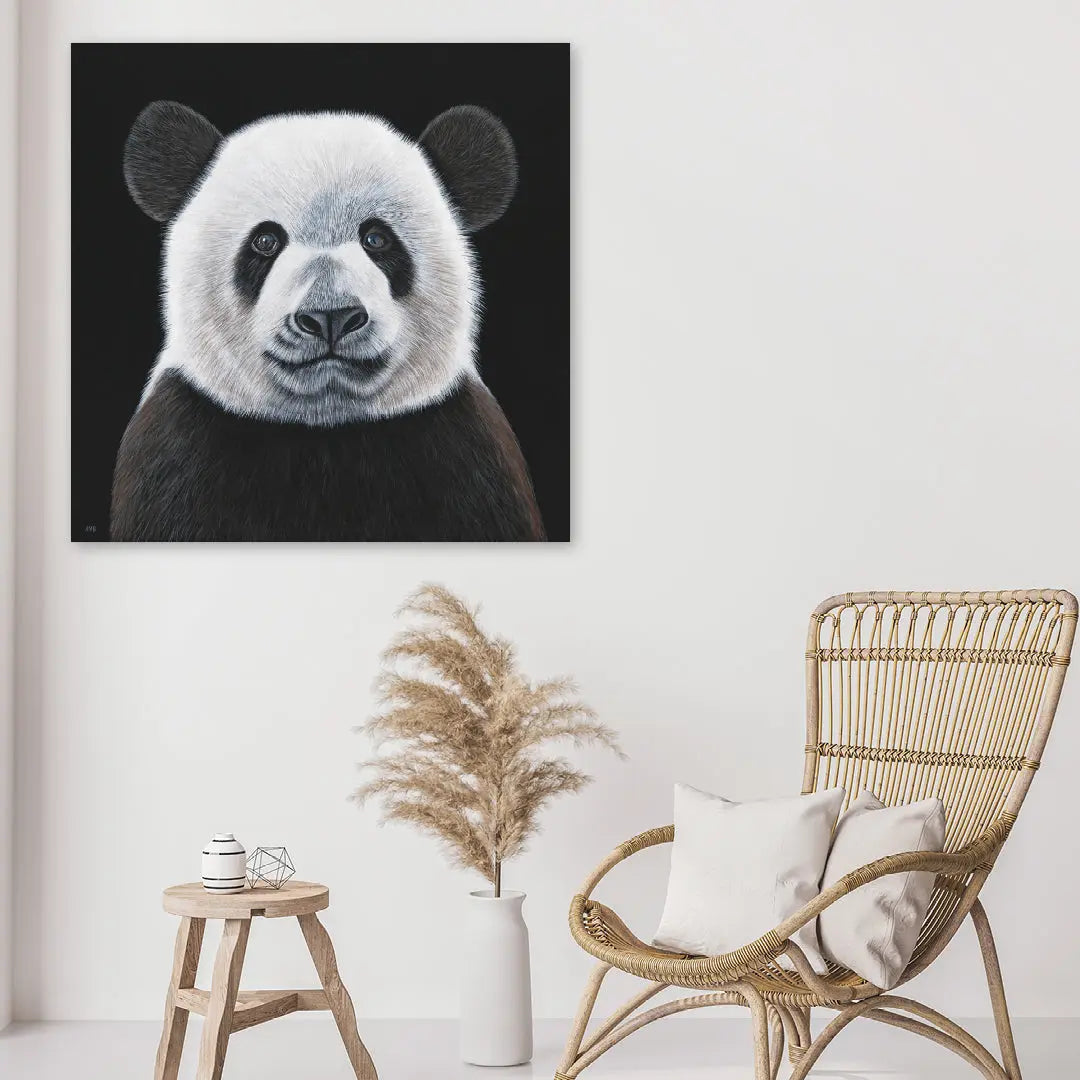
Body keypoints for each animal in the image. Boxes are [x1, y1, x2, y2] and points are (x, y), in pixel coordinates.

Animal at [111, 100, 546, 542]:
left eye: (377, 239)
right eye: (265, 241)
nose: (330, 317)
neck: (324, 425)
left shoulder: (468, 454)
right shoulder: (176, 451)